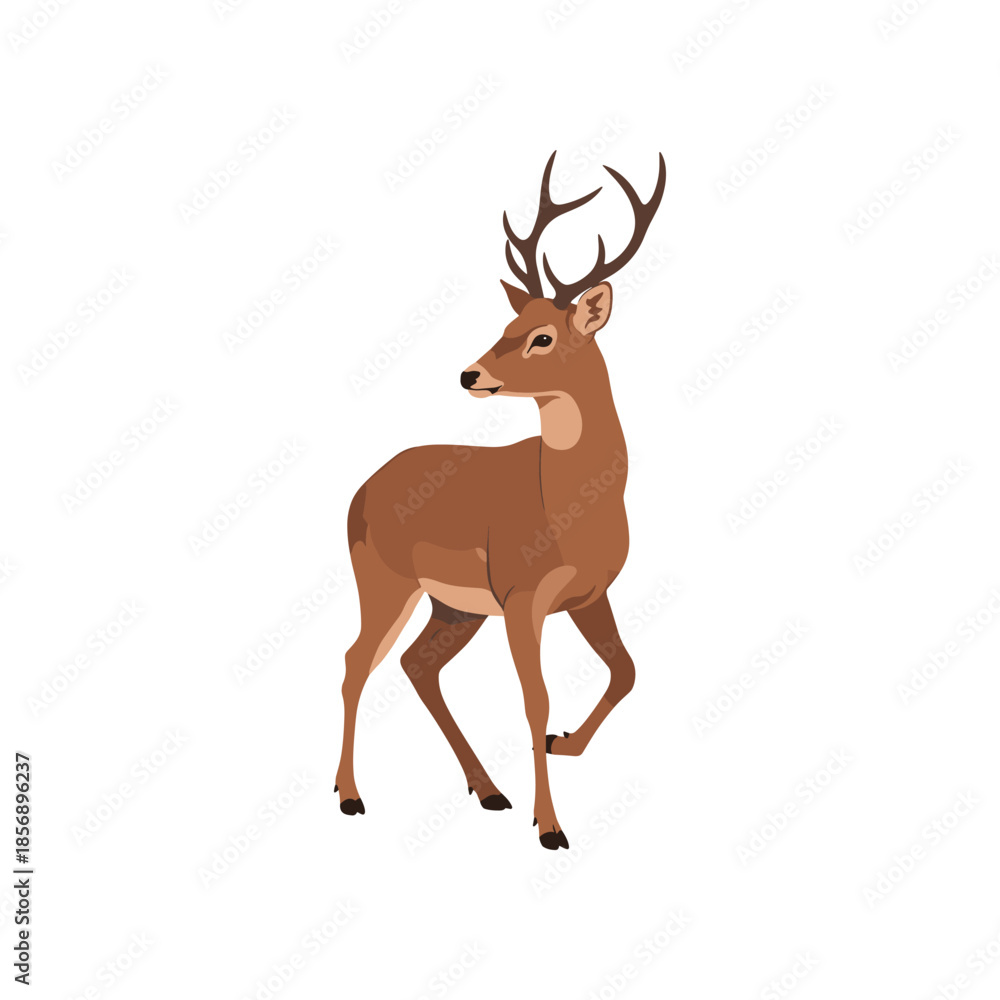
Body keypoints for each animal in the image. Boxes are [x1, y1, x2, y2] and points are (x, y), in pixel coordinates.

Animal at [337, 151, 666, 849]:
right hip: (385, 580)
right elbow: (534, 698)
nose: (470, 374)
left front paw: (564, 745)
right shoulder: (522, 595)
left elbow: (625, 671)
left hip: (455, 607)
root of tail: (360, 490)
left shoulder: (590, 593)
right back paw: (350, 796)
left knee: (416, 665)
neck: (570, 509)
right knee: (356, 662)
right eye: (506, 325)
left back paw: (489, 790)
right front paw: (552, 827)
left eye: (542, 336)